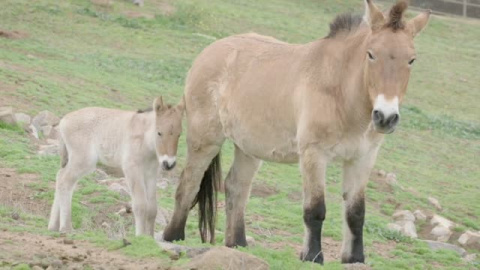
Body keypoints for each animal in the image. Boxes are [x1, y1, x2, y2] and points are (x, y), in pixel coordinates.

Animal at [48, 97, 184, 236]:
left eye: (179, 134)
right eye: (159, 133)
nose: (169, 164)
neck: (145, 139)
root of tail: (64, 120)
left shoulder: (151, 173)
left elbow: (152, 208)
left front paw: (149, 237)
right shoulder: (132, 169)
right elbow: (140, 205)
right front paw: (140, 236)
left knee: (60, 176)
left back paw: (53, 226)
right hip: (83, 160)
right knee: (65, 180)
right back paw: (66, 228)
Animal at [163, 0, 430, 264]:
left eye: (412, 60)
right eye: (371, 54)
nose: (385, 117)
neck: (340, 91)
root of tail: (209, 51)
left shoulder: (362, 158)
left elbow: (356, 212)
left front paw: (354, 258)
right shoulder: (314, 154)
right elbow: (315, 209)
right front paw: (312, 256)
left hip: (249, 148)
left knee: (236, 187)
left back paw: (237, 244)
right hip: (205, 139)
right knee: (188, 183)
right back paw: (172, 237)